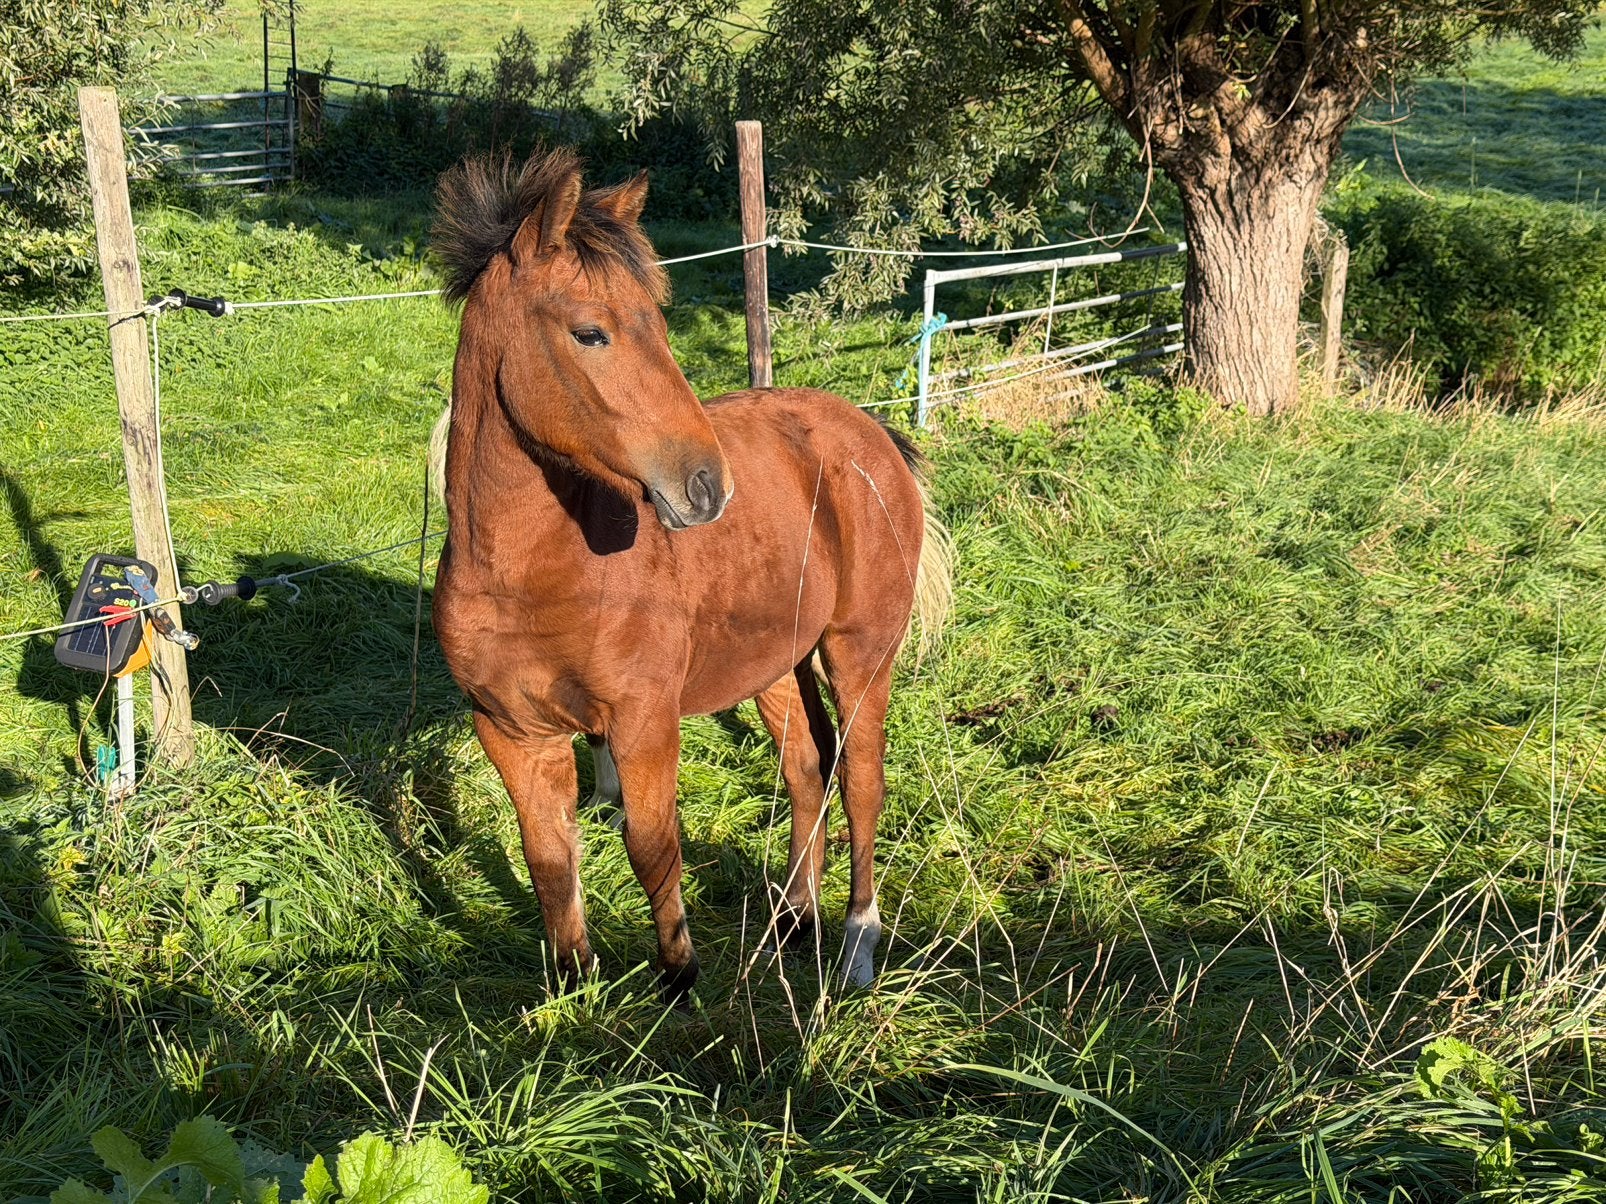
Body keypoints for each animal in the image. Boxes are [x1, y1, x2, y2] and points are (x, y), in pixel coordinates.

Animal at [428, 148, 952, 996]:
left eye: (661, 324)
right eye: (590, 332)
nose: (708, 486)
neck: (526, 575)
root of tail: (870, 434)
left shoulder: (643, 723)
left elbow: (652, 845)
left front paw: (678, 972)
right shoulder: (509, 731)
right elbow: (549, 860)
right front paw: (575, 982)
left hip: (859, 654)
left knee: (863, 780)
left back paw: (856, 945)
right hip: (773, 664)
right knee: (807, 766)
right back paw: (793, 917)